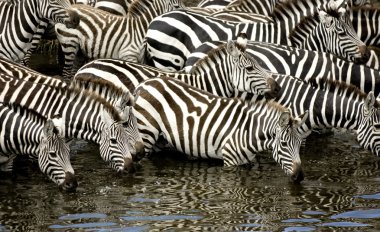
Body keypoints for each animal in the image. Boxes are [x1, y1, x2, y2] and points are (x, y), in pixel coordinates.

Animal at [55, 0, 184, 78]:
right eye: (177, 6)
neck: (140, 29)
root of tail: (71, 7)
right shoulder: (128, 55)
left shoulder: (140, 58)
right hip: (69, 43)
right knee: (66, 72)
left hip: (80, 50)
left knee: (73, 71)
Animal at [134, 76, 312, 183]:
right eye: (284, 144)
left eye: (298, 145)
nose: (300, 176)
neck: (248, 131)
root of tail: (144, 83)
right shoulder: (230, 162)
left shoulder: (245, 162)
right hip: (146, 132)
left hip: (159, 137)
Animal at [145, 0, 368, 70]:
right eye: (341, 32)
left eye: (354, 28)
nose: (366, 54)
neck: (289, 36)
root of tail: (156, 19)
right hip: (167, 61)